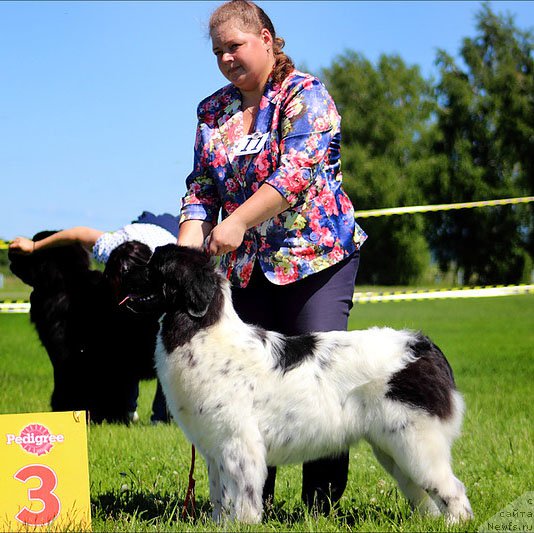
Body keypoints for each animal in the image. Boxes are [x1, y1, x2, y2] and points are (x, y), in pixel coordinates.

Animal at [126, 244, 478, 524]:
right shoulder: (216, 449)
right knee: (421, 492)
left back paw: (454, 523)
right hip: (392, 448)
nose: (127, 266)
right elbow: (220, 497)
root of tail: (422, 345)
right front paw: (220, 525)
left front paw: (242, 524)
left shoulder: (239, 444)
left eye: (155, 266)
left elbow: (241, 497)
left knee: (453, 490)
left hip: (417, 442)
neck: (201, 329)